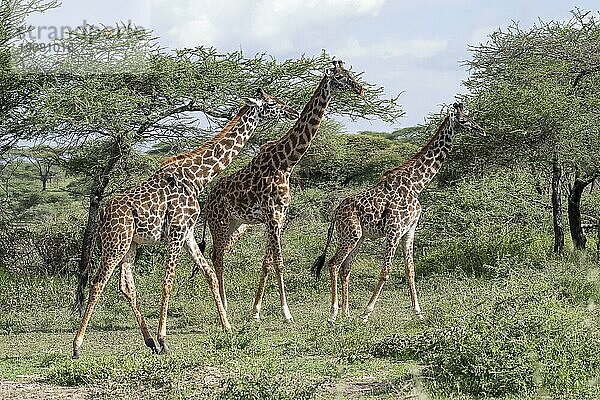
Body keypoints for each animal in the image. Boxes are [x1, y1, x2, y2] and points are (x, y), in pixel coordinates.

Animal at [72, 89, 298, 358]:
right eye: (271, 103)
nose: (293, 111)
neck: (198, 177)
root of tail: (103, 214)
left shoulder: (188, 232)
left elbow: (209, 274)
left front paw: (228, 327)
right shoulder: (177, 230)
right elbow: (167, 282)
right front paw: (164, 339)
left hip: (130, 245)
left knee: (126, 286)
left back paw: (149, 342)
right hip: (115, 243)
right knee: (98, 283)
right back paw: (77, 346)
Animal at [196, 60, 366, 322]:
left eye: (349, 73)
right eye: (339, 77)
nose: (360, 88)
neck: (286, 162)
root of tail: (209, 197)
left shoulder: (280, 216)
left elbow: (267, 261)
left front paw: (256, 310)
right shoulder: (272, 214)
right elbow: (279, 261)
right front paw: (286, 312)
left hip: (236, 225)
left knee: (218, 255)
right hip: (219, 223)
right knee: (218, 256)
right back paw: (223, 306)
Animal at [312, 103, 486, 324]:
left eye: (470, 117)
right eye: (463, 120)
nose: (482, 131)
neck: (416, 185)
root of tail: (336, 212)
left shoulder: (409, 231)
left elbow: (410, 270)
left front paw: (418, 312)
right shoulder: (394, 230)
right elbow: (385, 271)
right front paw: (366, 312)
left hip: (358, 238)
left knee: (345, 268)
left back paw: (346, 313)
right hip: (350, 234)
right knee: (334, 264)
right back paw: (333, 314)